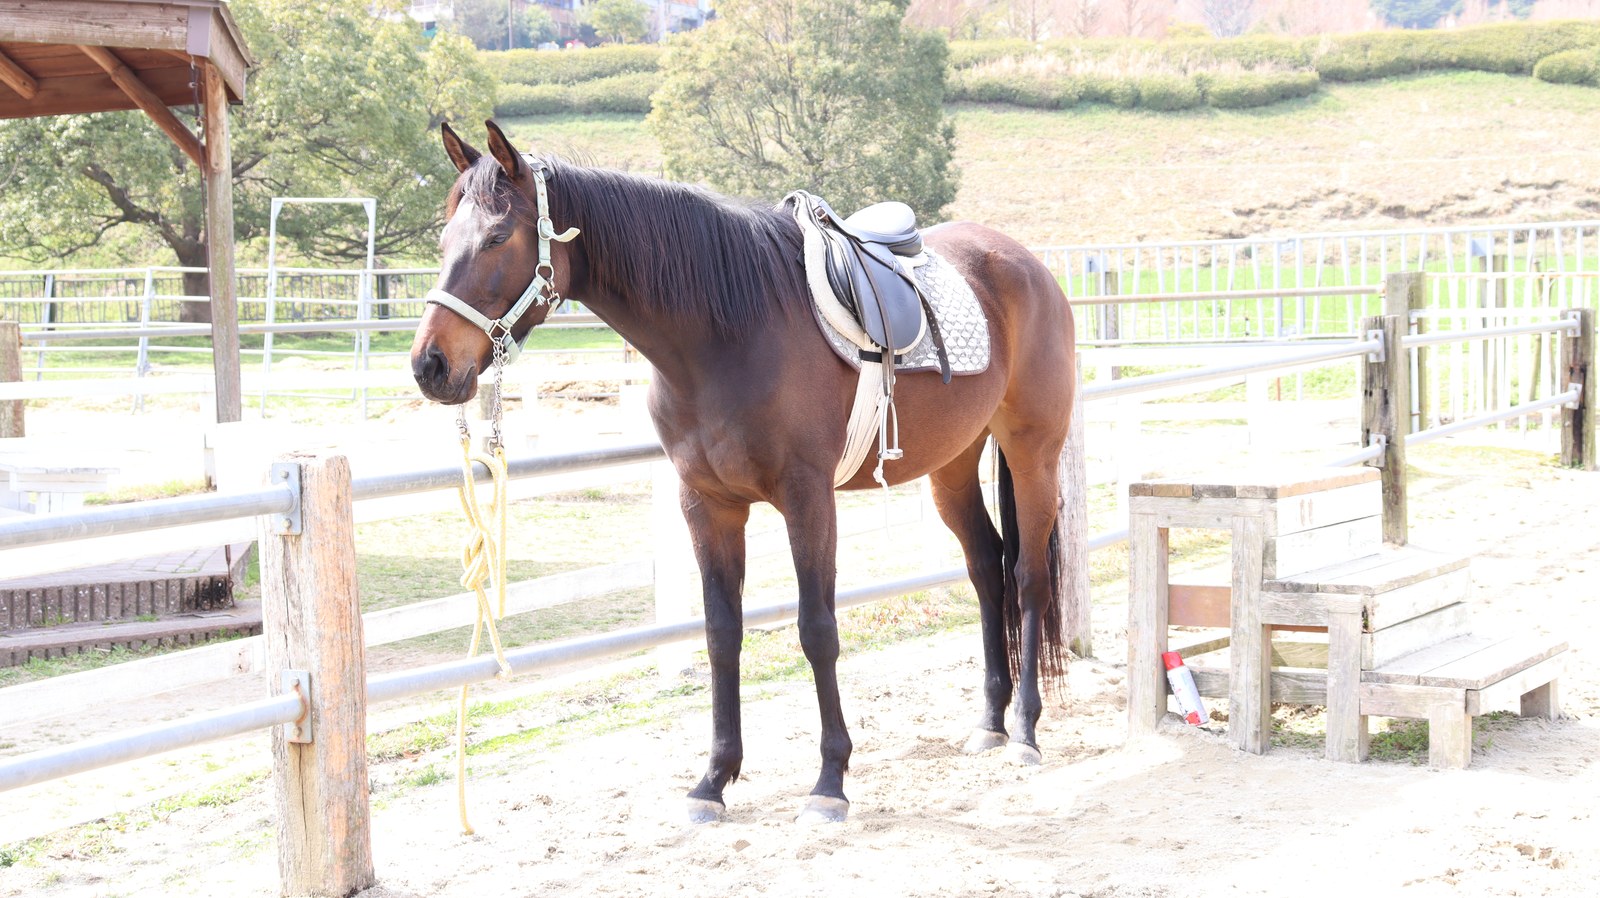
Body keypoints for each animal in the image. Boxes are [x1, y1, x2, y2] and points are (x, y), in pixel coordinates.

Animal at [411, 120, 1078, 825]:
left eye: (497, 237)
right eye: (444, 239)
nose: (429, 365)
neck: (727, 332)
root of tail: (1026, 264)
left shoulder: (808, 499)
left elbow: (817, 629)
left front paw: (830, 781)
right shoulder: (707, 504)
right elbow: (721, 632)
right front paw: (714, 779)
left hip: (1033, 455)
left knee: (1027, 577)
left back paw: (1026, 731)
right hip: (952, 467)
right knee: (986, 568)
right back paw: (990, 722)